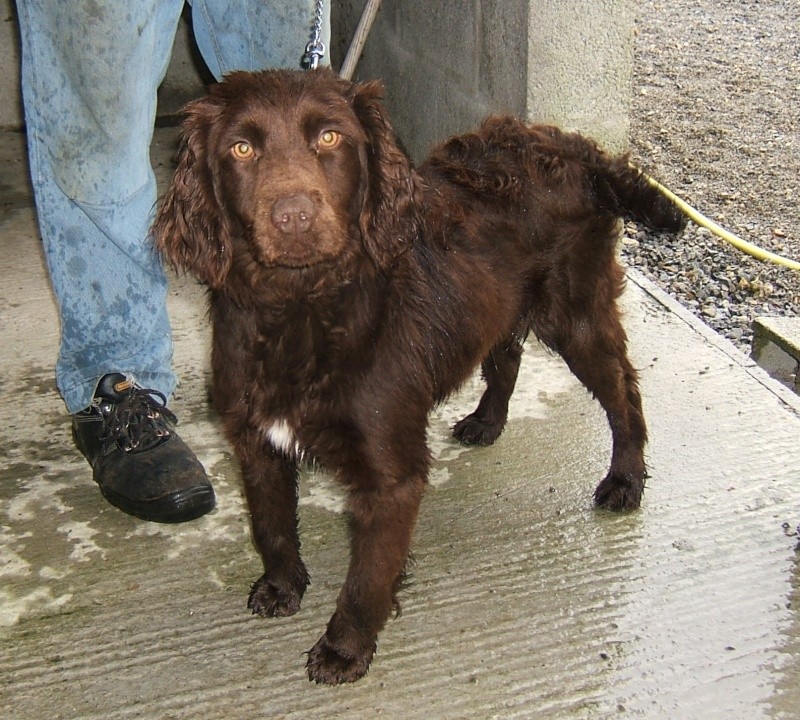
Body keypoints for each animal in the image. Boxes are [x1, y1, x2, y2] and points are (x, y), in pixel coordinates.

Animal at [153, 69, 684, 688]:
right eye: (241, 149)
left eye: (330, 138)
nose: (294, 218)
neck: (300, 309)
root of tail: (577, 146)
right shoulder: (256, 440)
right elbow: (271, 523)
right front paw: (283, 587)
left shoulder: (392, 475)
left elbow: (367, 577)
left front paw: (344, 648)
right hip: (497, 301)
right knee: (506, 355)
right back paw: (486, 422)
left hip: (573, 312)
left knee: (623, 389)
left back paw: (626, 479)